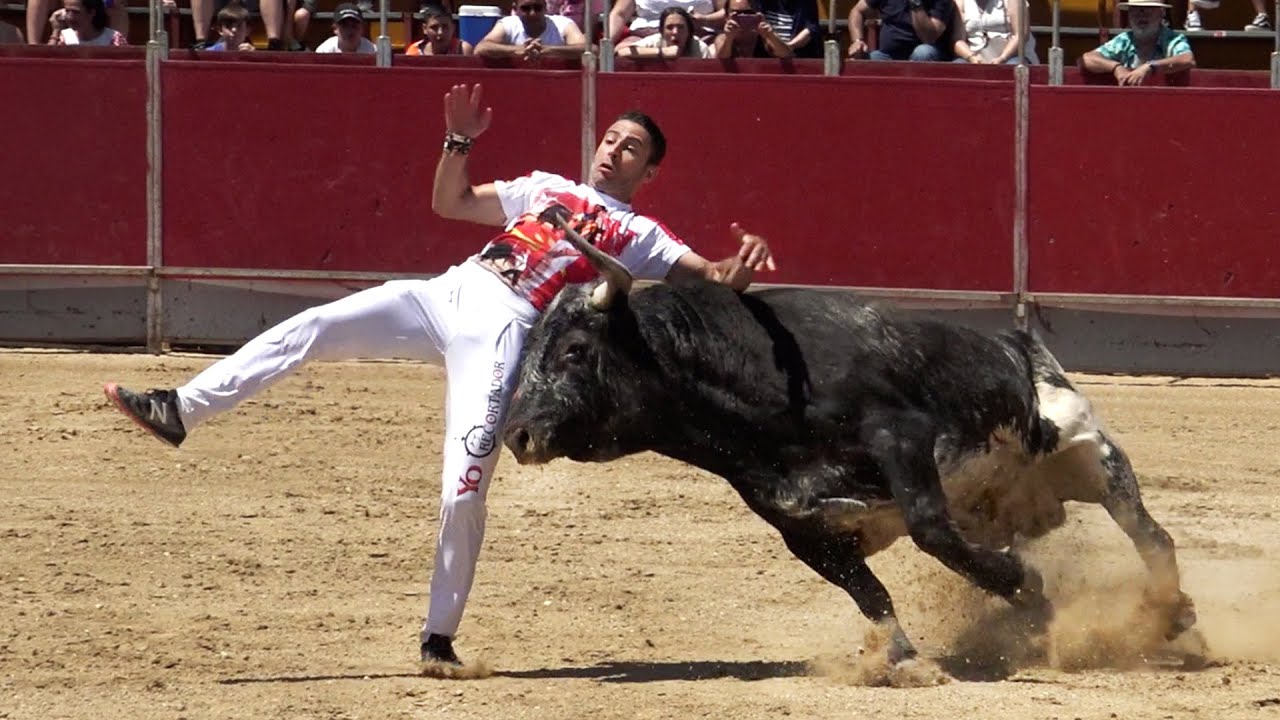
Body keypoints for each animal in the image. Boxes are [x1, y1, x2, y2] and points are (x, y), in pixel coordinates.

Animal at [501, 222, 1198, 666]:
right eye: (529, 353)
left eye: (574, 351)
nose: (518, 434)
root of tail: (1017, 342)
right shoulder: (798, 527)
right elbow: (869, 592)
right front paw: (902, 660)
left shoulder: (902, 439)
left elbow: (931, 532)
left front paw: (1023, 584)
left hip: (1090, 452)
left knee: (1149, 533)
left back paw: (1170, 611)